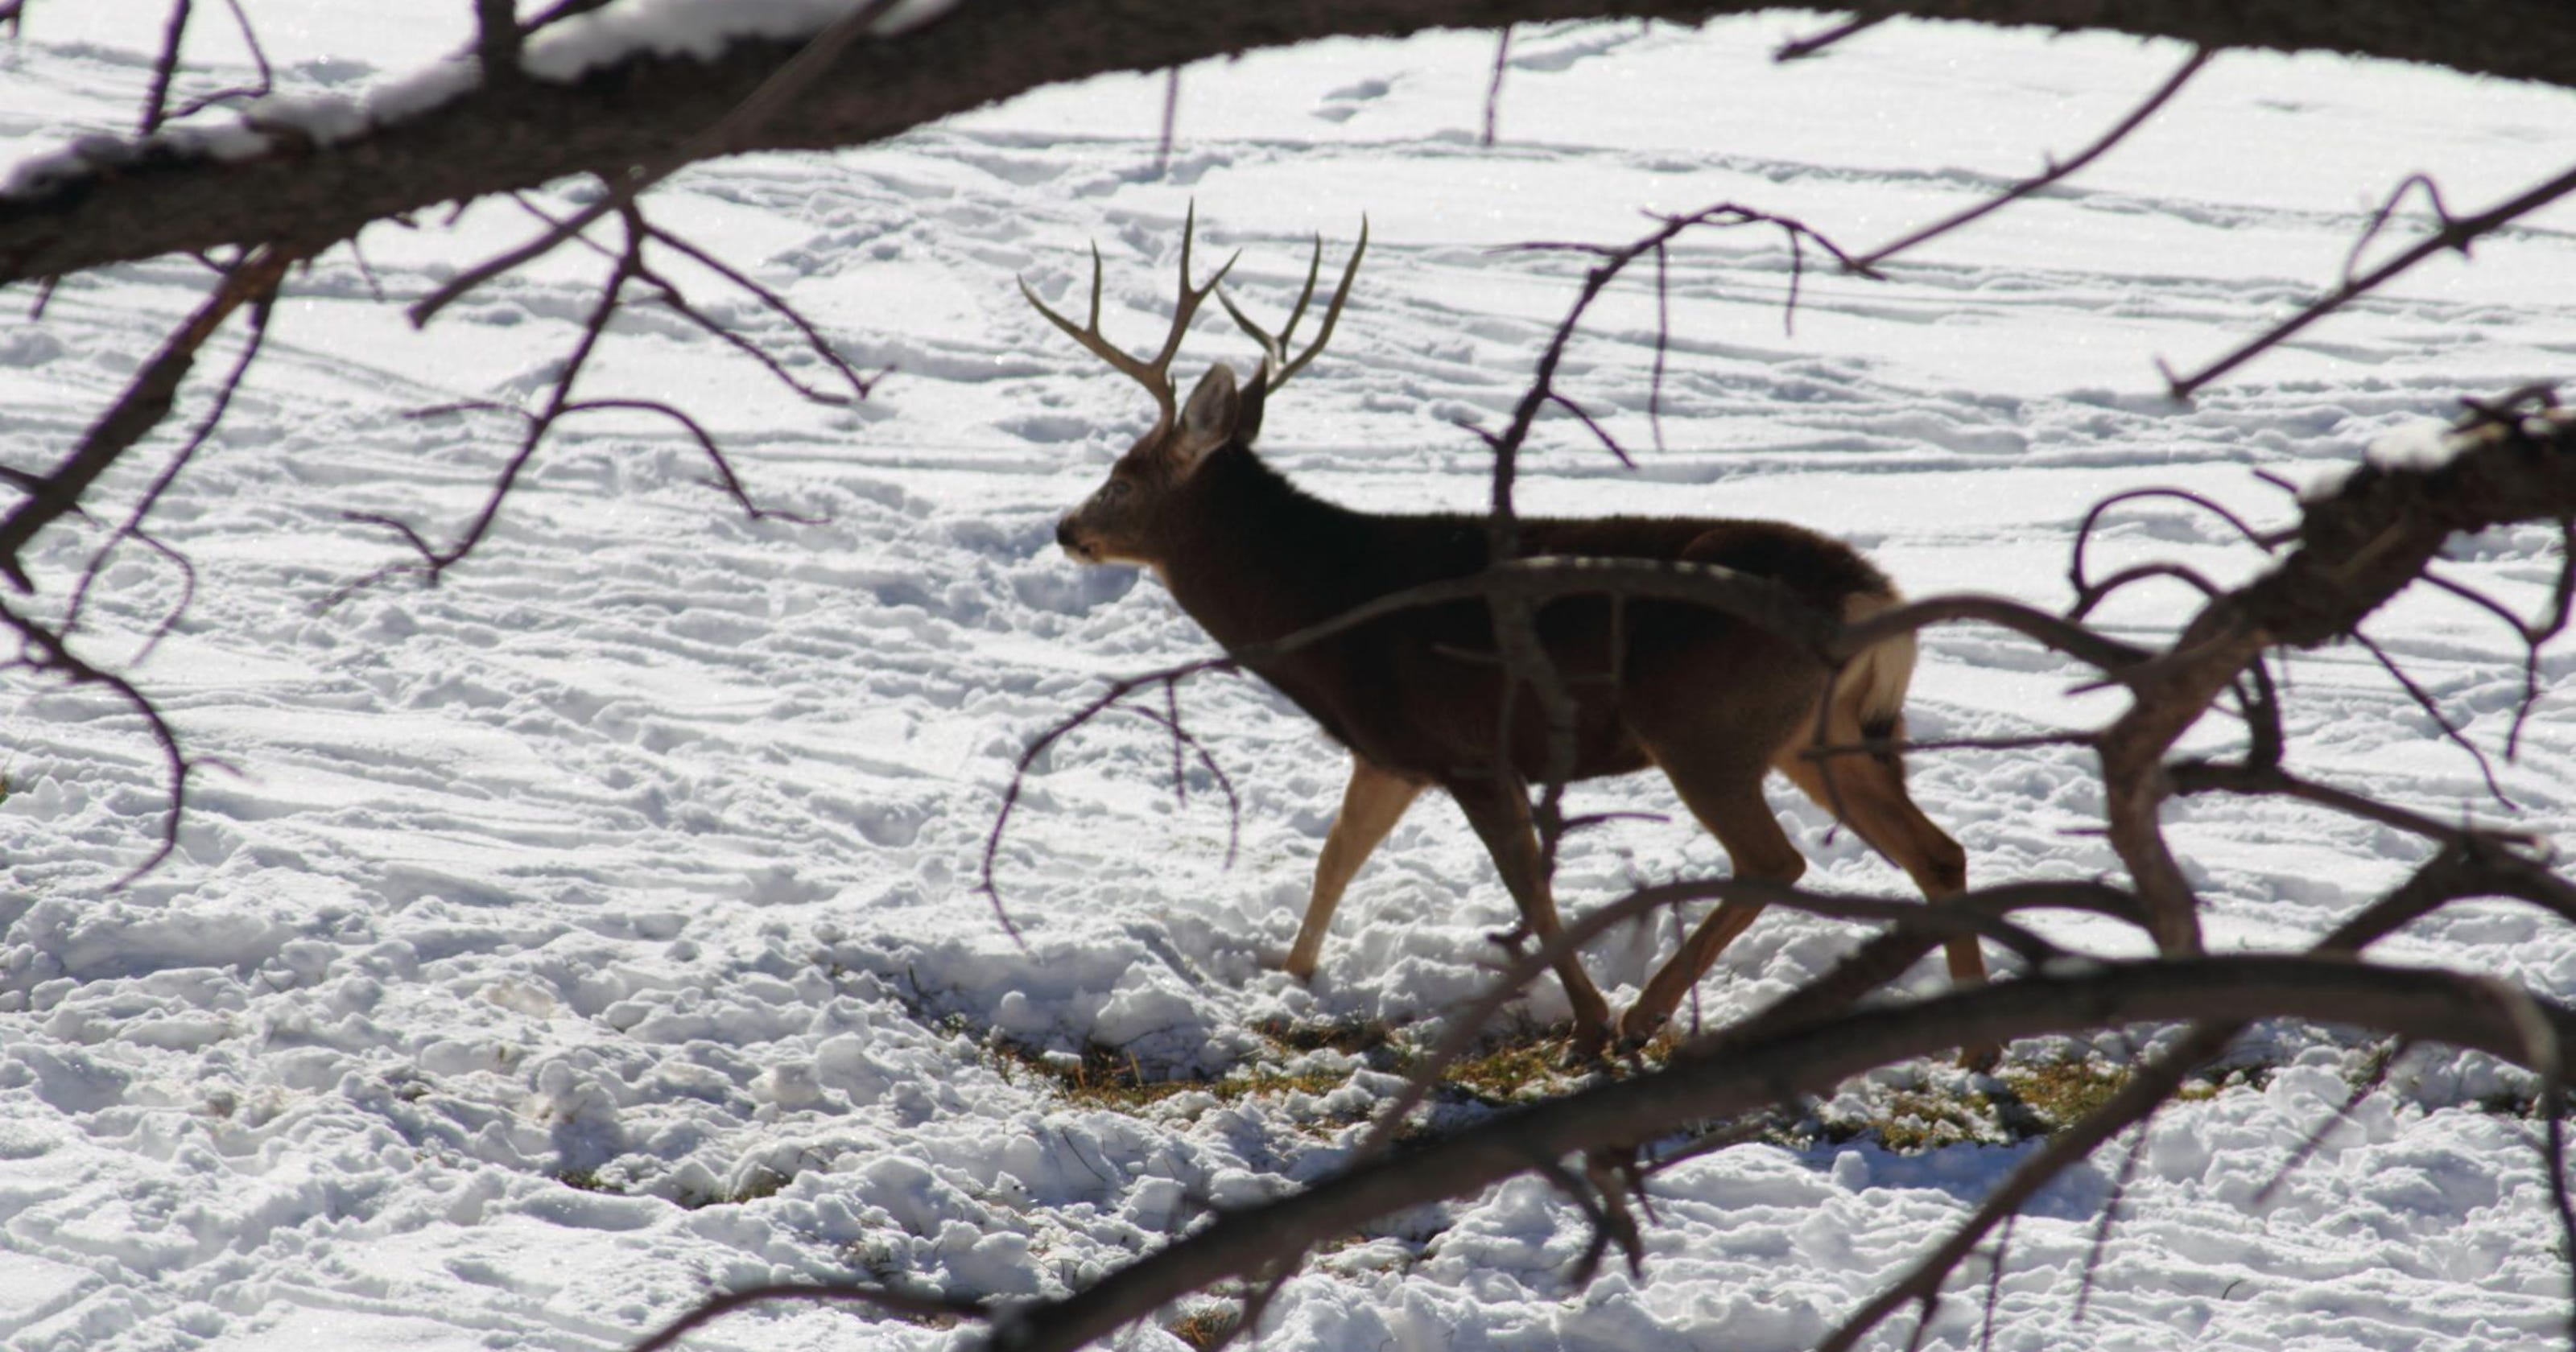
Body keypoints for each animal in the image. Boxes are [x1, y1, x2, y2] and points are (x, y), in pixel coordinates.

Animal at [1025, 212, 1984, 1054]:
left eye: (1121, 474)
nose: (1066, 527)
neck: (1325, 604)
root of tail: (1868, 597)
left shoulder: (1469, 749)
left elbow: (1527, 885)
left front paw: (1587, 1023)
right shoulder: (1392, 750)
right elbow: (1337, 856)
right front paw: (1288, 974)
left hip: (1703, 723)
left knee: (1774, 860)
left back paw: (1644, 1016)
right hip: (1822, 734)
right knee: (1937, 852)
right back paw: (1972, 1035)